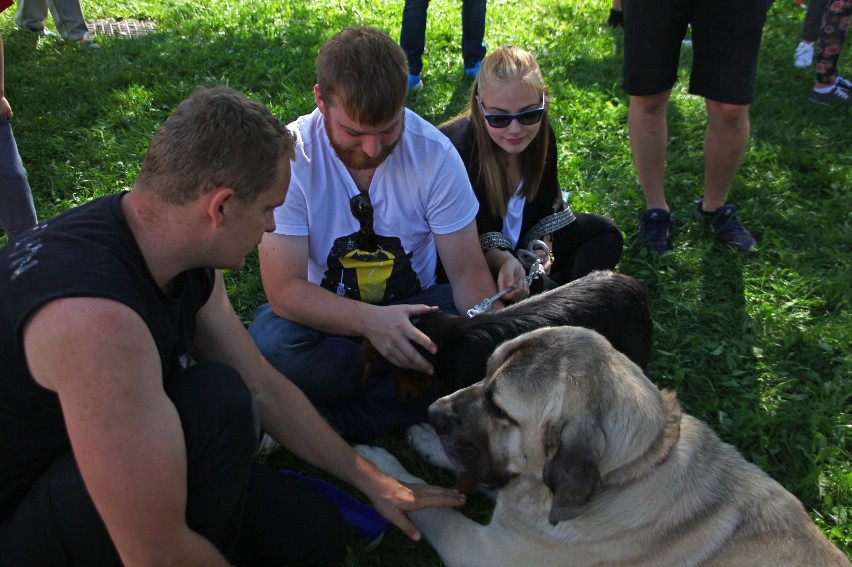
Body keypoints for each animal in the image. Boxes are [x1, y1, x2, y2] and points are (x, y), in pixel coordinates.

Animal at [356, 326, 848, 564]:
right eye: (485, 372)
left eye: (500, 409)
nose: (435, 411)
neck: (632, 470)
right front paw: (424, 440)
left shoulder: (488, 551)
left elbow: (437, 512)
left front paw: (383, 471)